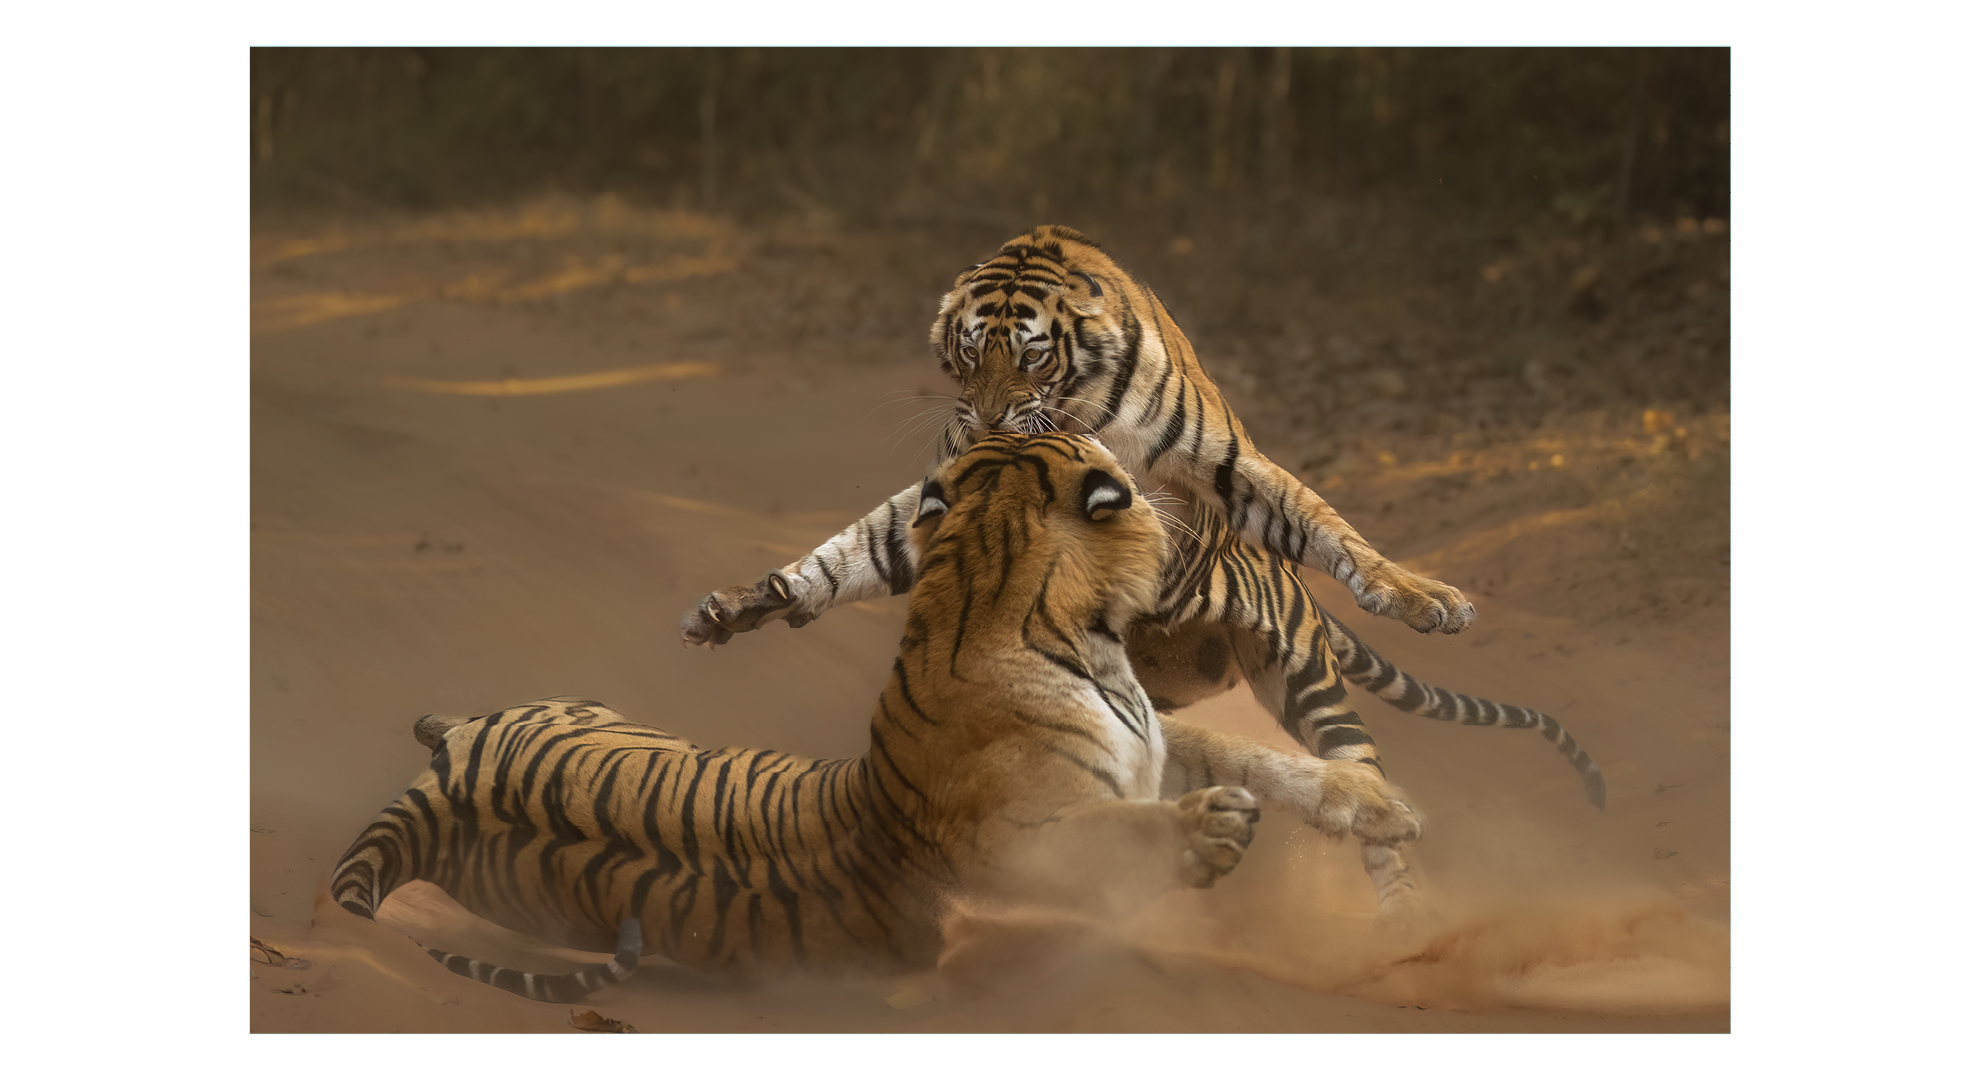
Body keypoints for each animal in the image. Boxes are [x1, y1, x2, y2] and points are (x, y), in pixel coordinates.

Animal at [328, 430, 1425, 1002]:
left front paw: (1378, 805)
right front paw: (1210, 834)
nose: (1181, 495)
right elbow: (1110, 839)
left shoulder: (1149, 739)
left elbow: (1253, 754)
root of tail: (434, 787)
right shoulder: (1011, 841)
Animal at [685, 220, 1607, 824]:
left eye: (1030, 355)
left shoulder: (1225, 469)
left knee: (1355, 763)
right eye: (967, 354)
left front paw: (1425, 598)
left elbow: (1327, 523)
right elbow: (861, 549)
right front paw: (750, 604)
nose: (986, 421)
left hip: (1301, 674)